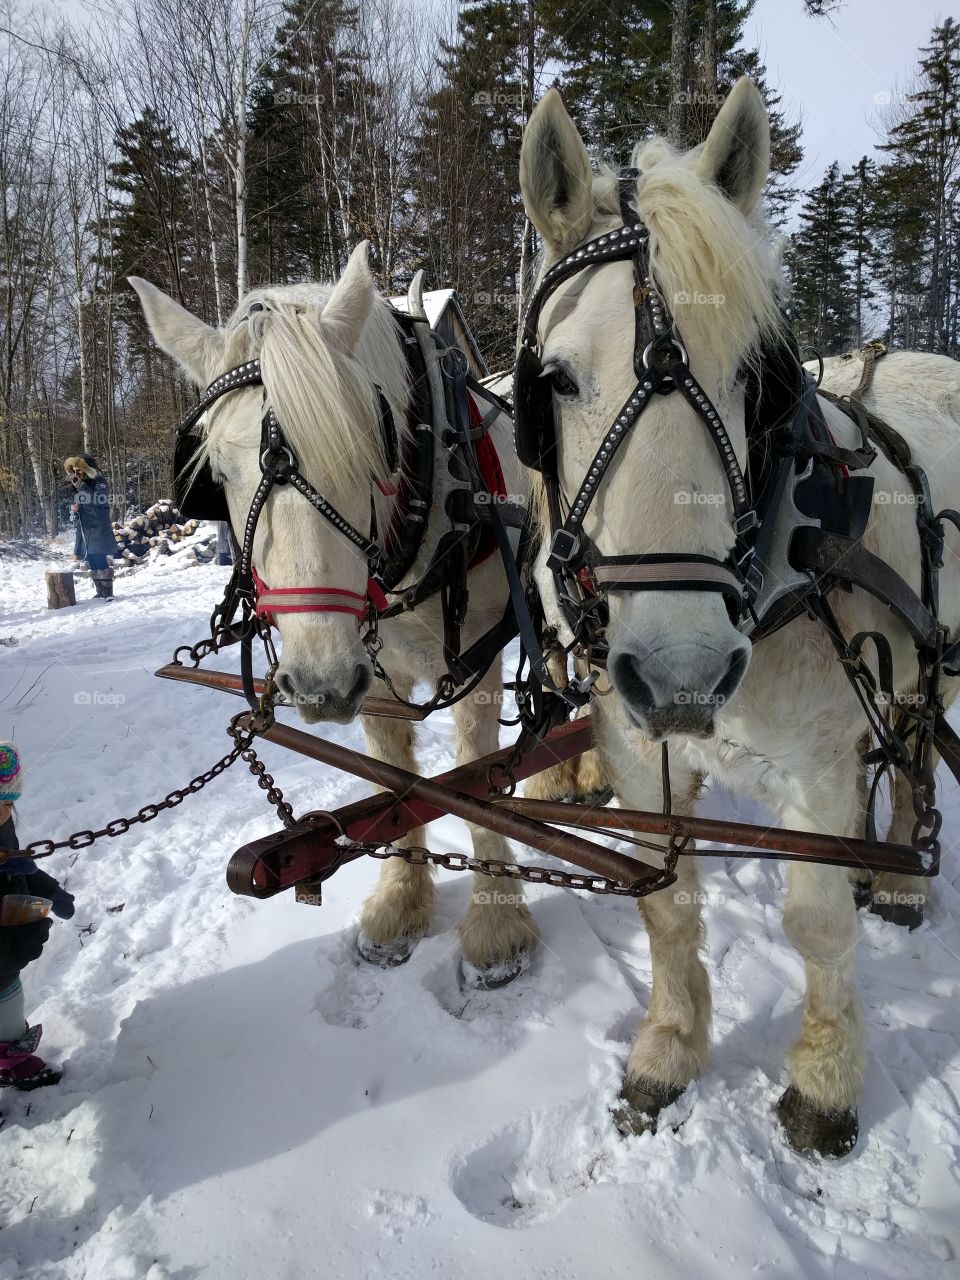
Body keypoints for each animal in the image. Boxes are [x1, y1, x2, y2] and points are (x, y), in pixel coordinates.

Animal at [130, 252, 542, 988]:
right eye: (217, 474)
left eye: (369, 449)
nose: (319, 686)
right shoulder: (371, 672)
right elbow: (397, 779)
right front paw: (402, 902)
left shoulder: (478, 657)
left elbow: (478, 775)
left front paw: (497, 925)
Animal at [519, 80, 960, 1162]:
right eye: (557, 379)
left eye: (753, 375)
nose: (683, 672)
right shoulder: (639, 746)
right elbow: (668, 903)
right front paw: (669, 1054)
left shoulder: (816, 758)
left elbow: (816, 925)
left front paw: (825, 1085)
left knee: (920, 744)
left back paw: (899, 876)